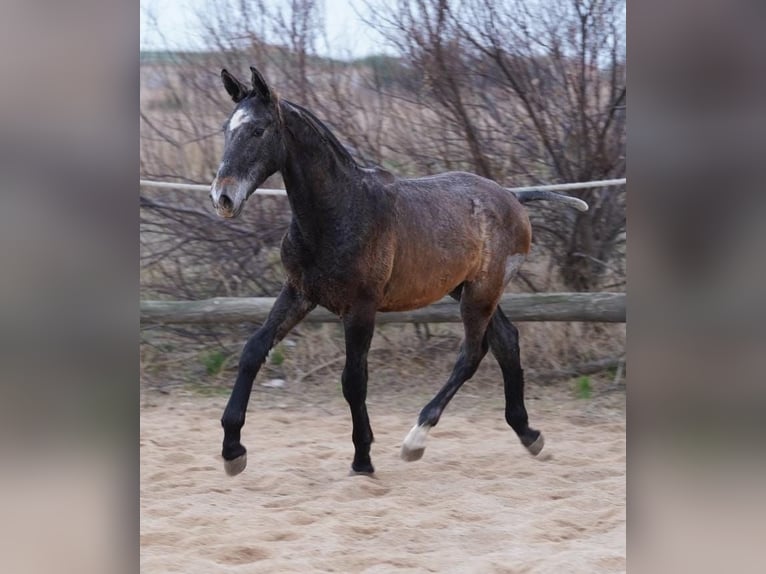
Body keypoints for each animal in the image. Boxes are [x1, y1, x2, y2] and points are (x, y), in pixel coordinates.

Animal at [210, 66, 588, 476]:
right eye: (227, 129)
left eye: (258, 130)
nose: (222, 198)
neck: (339, 211)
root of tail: (512, 197)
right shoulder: (299, 292)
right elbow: (253, 350)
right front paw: (232, 451)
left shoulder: (361, 308)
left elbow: (353, 380)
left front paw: (362, 460)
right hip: (466, 287)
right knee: (506, 340)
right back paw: (528, 434)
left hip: (481, 292)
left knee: (473, 352)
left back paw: (416, 440)